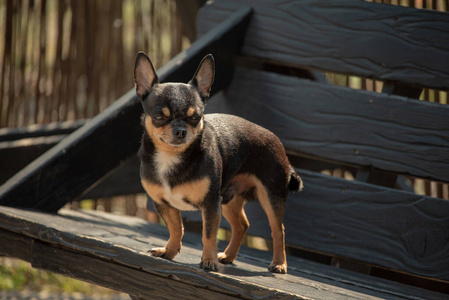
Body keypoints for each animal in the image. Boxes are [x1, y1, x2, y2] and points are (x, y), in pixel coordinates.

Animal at [132, 52, 300, 274]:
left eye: (195, 117)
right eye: (159, 117)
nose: (180, 131)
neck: (172, 157)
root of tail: (276, 140)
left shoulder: (210, 205)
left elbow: (208, 235)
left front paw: (209, 261)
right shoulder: (163, 204)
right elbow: (176, 228)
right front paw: (169, 251)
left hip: (271, 196)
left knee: (277, 230)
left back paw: (279, 263)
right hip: (228, 198)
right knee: (241, 225)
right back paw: (228, 256)